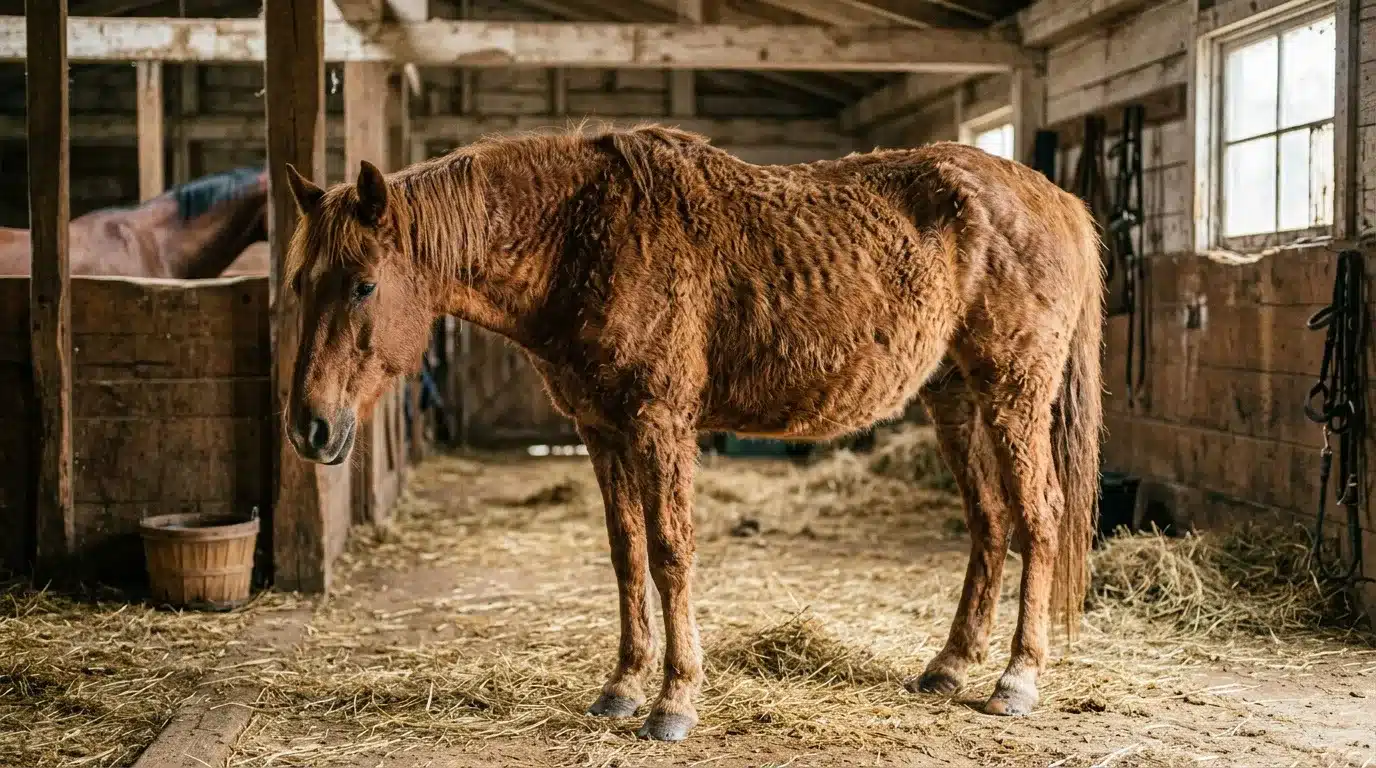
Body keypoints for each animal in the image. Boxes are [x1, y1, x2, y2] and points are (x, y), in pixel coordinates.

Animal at [277, 125, 1104, 742]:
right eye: (300, 284)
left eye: (364, 284)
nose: (309, 428)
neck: (583, 237)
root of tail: (1057, 198)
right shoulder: (601, 430)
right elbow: (626, 554)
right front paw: (621, 686)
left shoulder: (660, 425)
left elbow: (671, 554)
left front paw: (674, 701)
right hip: (954, 398)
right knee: (989, 522)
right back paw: (949, 666)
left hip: (1014, 394)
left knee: (1039, 517)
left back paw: (1016, 680)